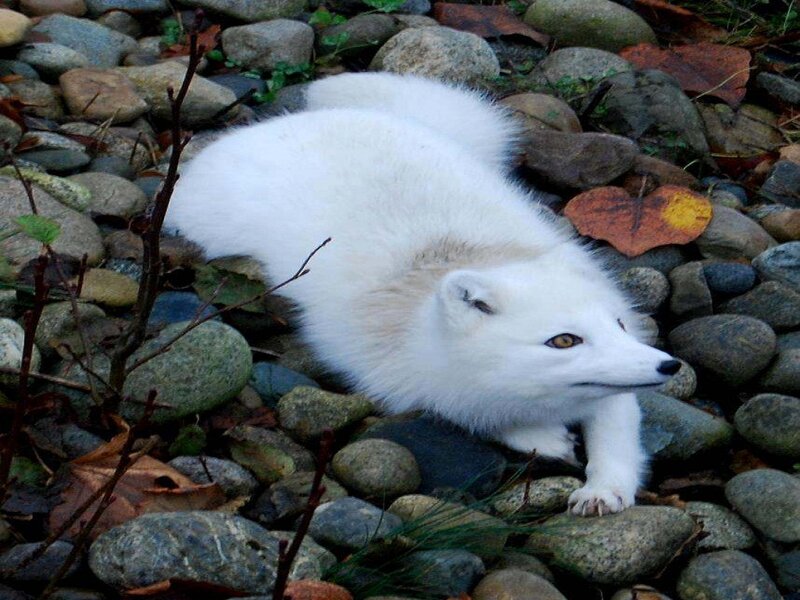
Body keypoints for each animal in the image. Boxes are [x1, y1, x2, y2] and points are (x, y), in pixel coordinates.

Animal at [165, 72, 681, 516]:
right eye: (564, 341)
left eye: (618, 325)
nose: (668, 366)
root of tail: (277, 125)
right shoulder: (401, 375)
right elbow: (466, 409)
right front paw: (541, 436)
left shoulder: (618, 383)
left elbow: (616, 433)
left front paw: (605, 489)